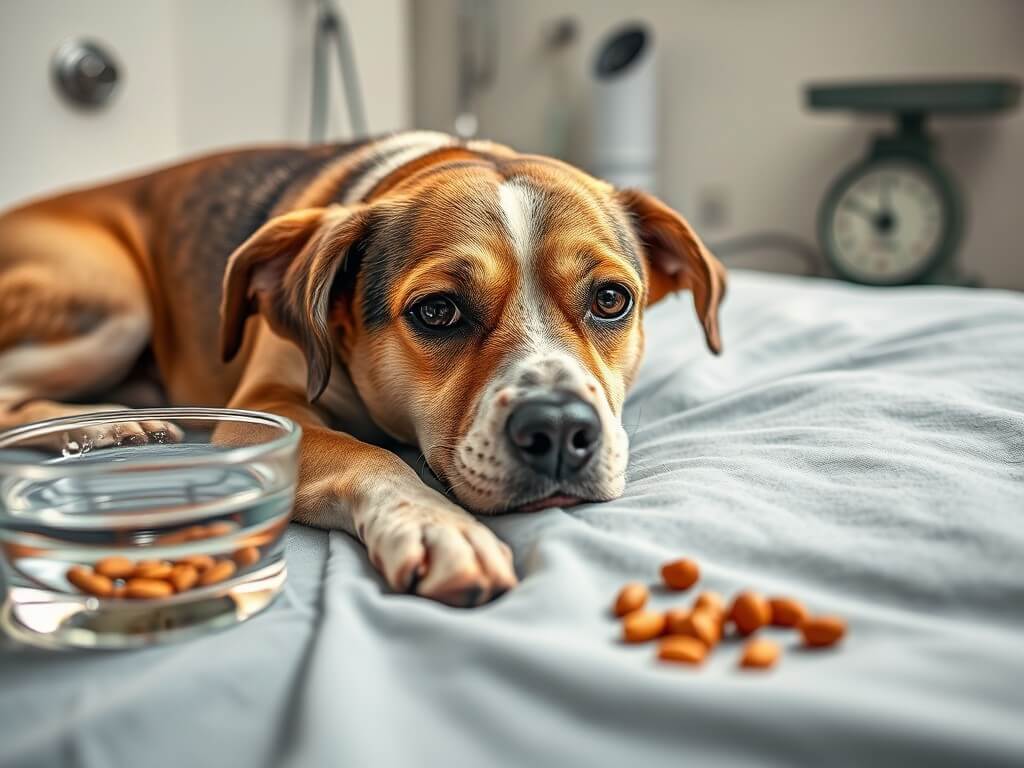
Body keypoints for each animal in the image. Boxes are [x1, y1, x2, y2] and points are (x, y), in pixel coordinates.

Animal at [0, 131, 724, 606]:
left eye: (611, 299)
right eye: (437, 311)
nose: (560, 431)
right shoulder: (267, 412)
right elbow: (366, 455)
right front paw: (437, 525)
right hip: (113, 303)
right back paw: (110, 425)